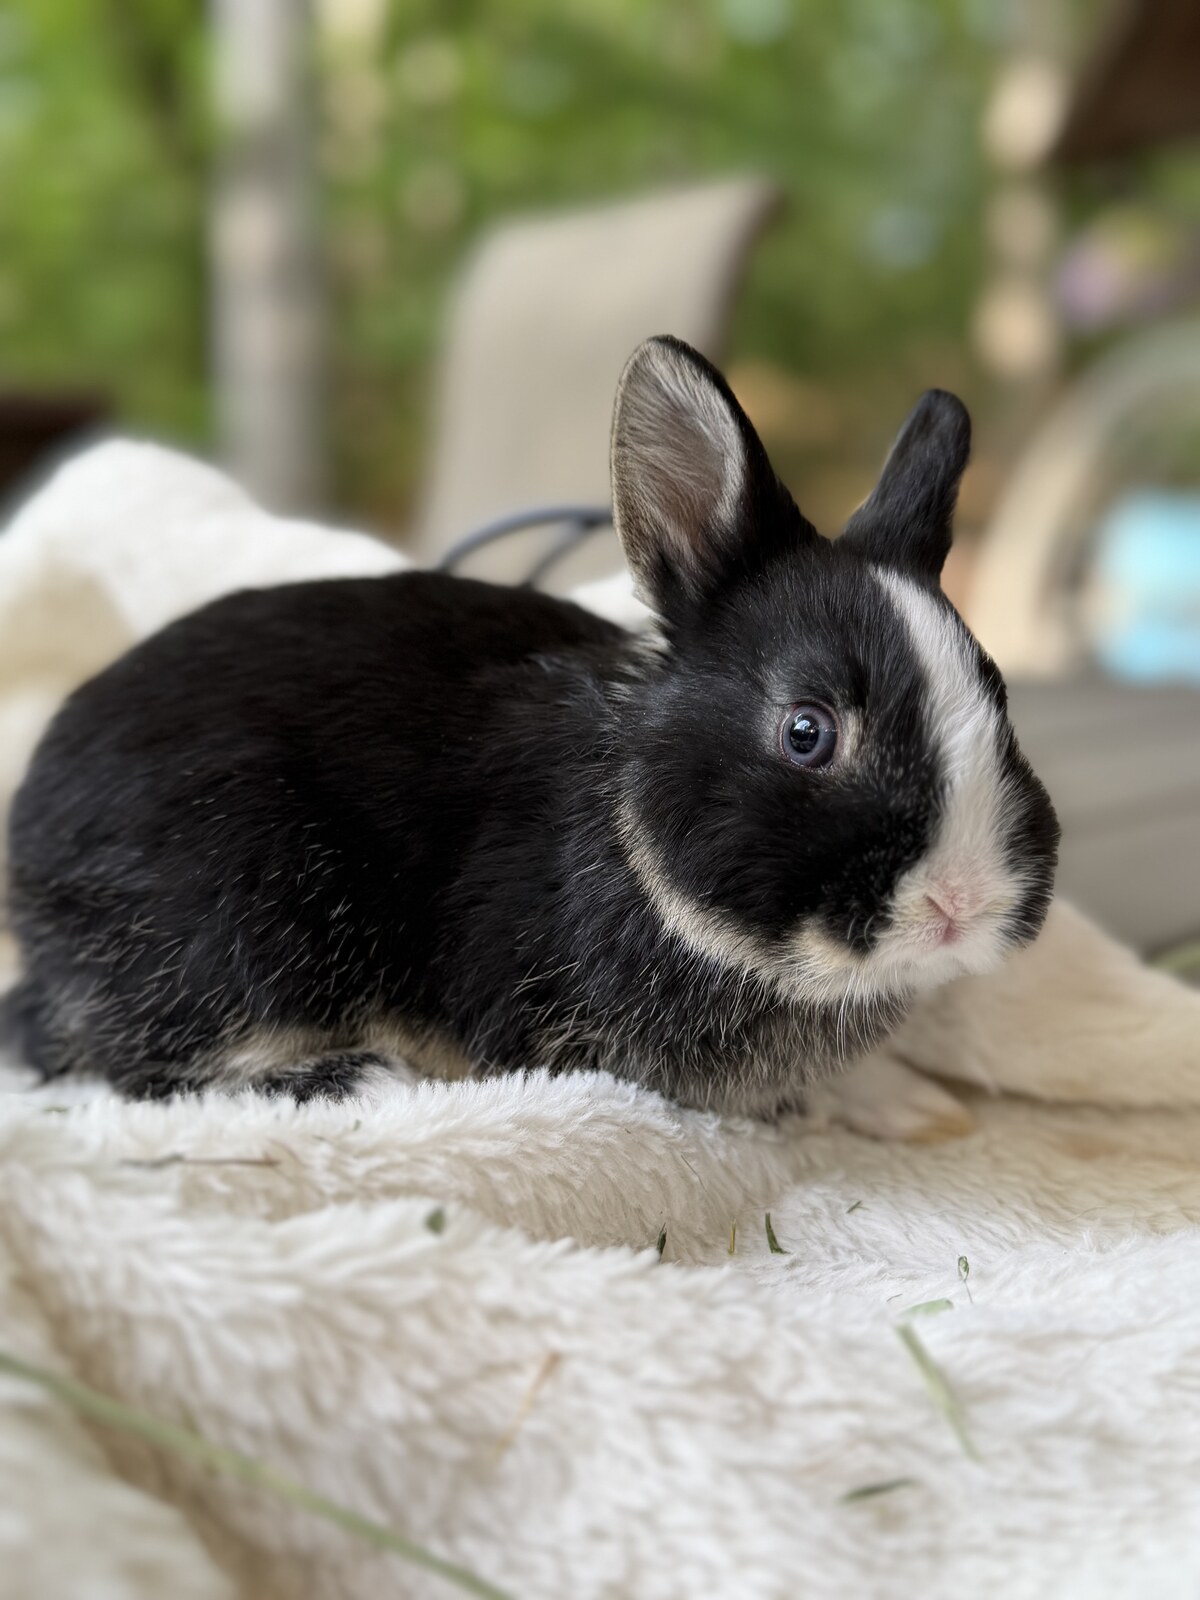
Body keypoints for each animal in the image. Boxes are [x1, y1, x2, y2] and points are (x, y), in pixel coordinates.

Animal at [0, 335, 1059, 1114]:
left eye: (1001, 699)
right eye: (808, 731)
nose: (964, 903)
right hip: (245, 913)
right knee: (134, 1063)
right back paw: (355, 1078)